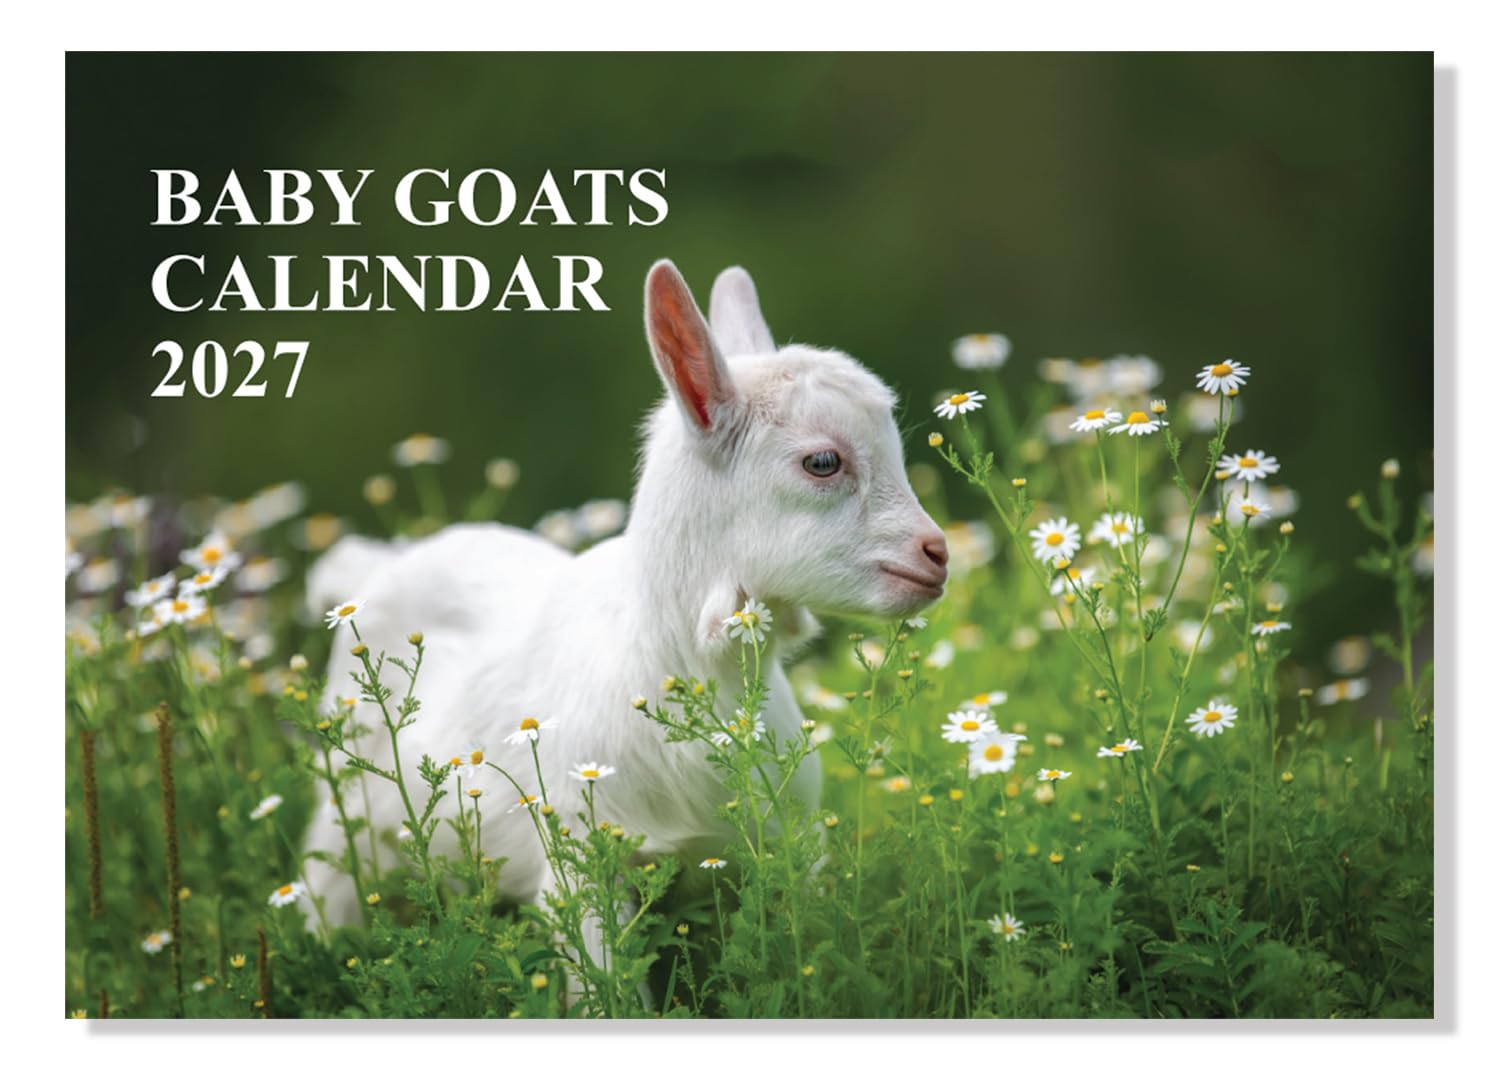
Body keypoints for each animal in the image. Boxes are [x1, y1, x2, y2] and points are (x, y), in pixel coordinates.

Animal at [302, 259, 949, 934]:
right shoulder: (581, 862)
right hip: (345, 817)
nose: (937, 553)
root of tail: (377, 567)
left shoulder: (791, 846)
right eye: (823, 461)